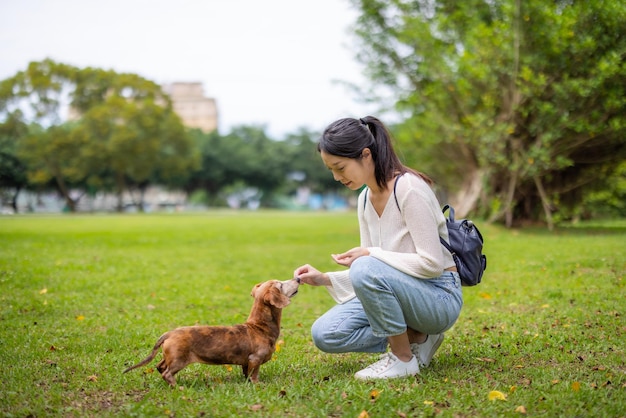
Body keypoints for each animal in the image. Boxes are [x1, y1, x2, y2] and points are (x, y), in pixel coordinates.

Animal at [123, 280, 298, 384]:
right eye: (281, 285)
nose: (297, 279)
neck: (259, 326)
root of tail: (169, 334)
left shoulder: (246, 362)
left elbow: (246, 373)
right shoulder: (255, 359)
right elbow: (254, 375)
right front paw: (257, 384)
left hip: (170, 356)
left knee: (160, 366)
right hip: (179, 359)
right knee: (166, 372)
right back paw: (177, 387)